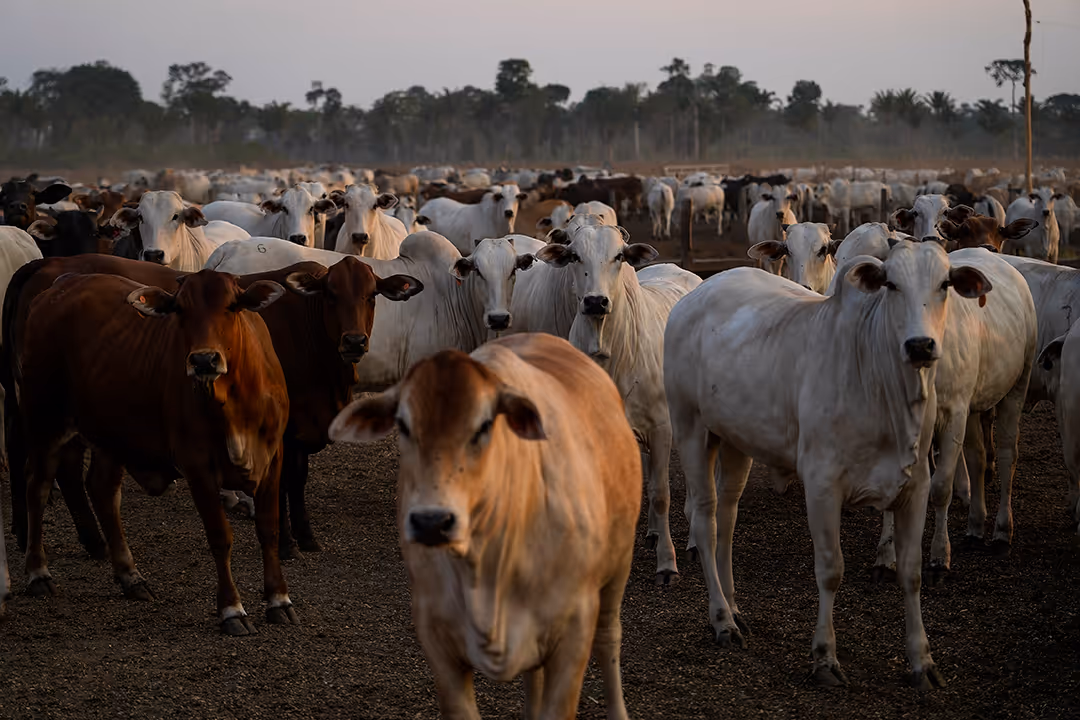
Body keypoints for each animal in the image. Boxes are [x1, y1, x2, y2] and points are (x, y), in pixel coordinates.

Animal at [18, 270, 295, 635]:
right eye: (180, 309)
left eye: (232, 306)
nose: (203, 360)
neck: (236, 399)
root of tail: (62, 284)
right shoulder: (197, 465)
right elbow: (220, 536)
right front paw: (231, 609)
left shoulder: (273, 456)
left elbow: (268, 528)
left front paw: (279, 599)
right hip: (45, 418)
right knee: (37, 487)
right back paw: (38, 572)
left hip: (113, 433)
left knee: (102, 490)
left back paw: (130, 577)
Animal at [328, 333, 640, 720]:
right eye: (402, 424)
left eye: (485, 425)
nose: (432, 522)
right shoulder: (436, 638)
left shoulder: (574, 630)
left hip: (618, 567)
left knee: (608, 639)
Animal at [533, 219, 702, 585]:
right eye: (574, 256)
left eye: (619, 256)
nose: (596, 302)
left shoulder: (661, 428)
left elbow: (661, 493)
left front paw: (666, 564)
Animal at [663, 241, 994, 688]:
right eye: (891, 284)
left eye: (944, 284)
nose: (920, 345)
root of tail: (697, 293)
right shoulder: (822, 484)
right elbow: (830, 568)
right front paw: (824, 656)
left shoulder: (916, 487)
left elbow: (911, 573)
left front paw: (922, 661)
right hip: (691, 429)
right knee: (704, 519)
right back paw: (721, 621)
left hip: (735, 440)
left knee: (727, 521)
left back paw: (734, 608)